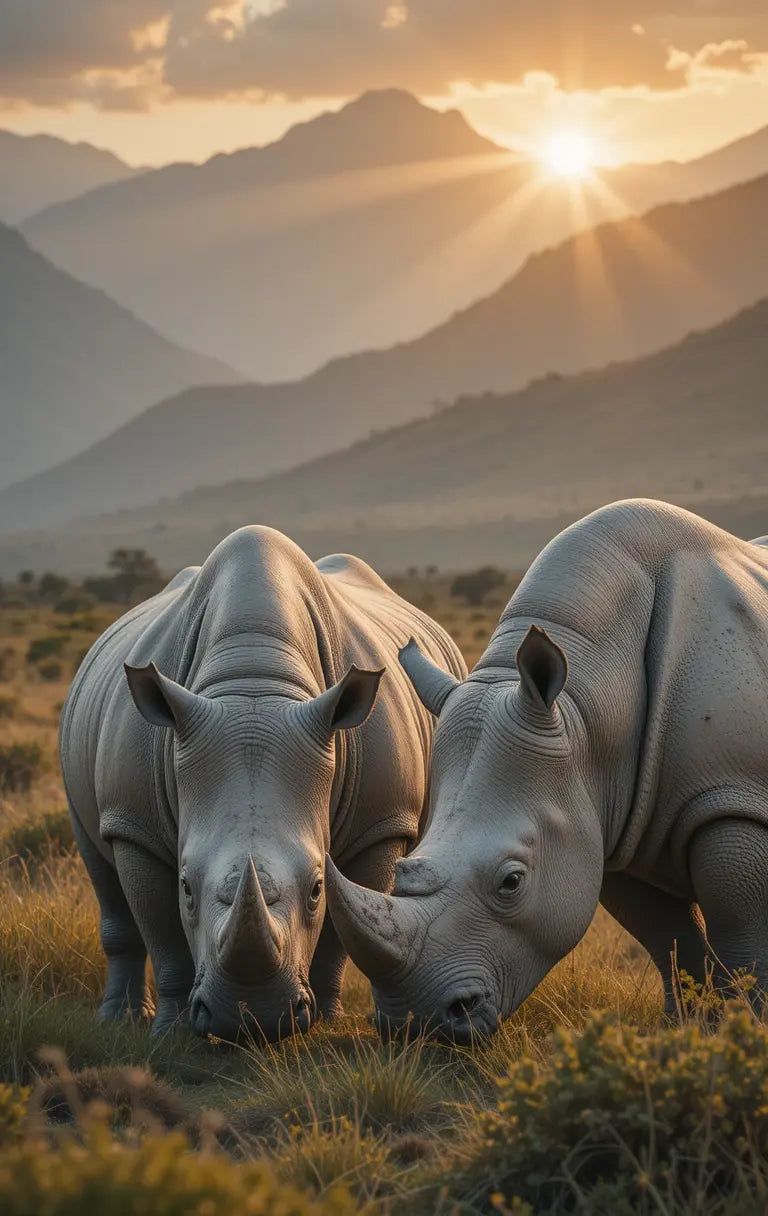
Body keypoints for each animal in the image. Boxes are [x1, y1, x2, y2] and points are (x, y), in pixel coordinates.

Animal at [60, 526, 465, 1040]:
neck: (254, 680)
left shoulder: (380, 823)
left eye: (316, 888)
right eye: (185, 887)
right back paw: (120, 1017)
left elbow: (343, 927)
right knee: (101, 873)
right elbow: (164, 936)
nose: (248, 1018)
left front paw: (325, 1019)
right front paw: (170, 1033)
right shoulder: (135, 824)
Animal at [326, 500, 768, 1041]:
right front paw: (689, 1027)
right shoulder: (609, 820)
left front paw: (748, 1028)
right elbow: (669, 936)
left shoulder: (734, 800)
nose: (418, 1025)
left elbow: (743, 935)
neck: (589, 706)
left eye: (512, 881)